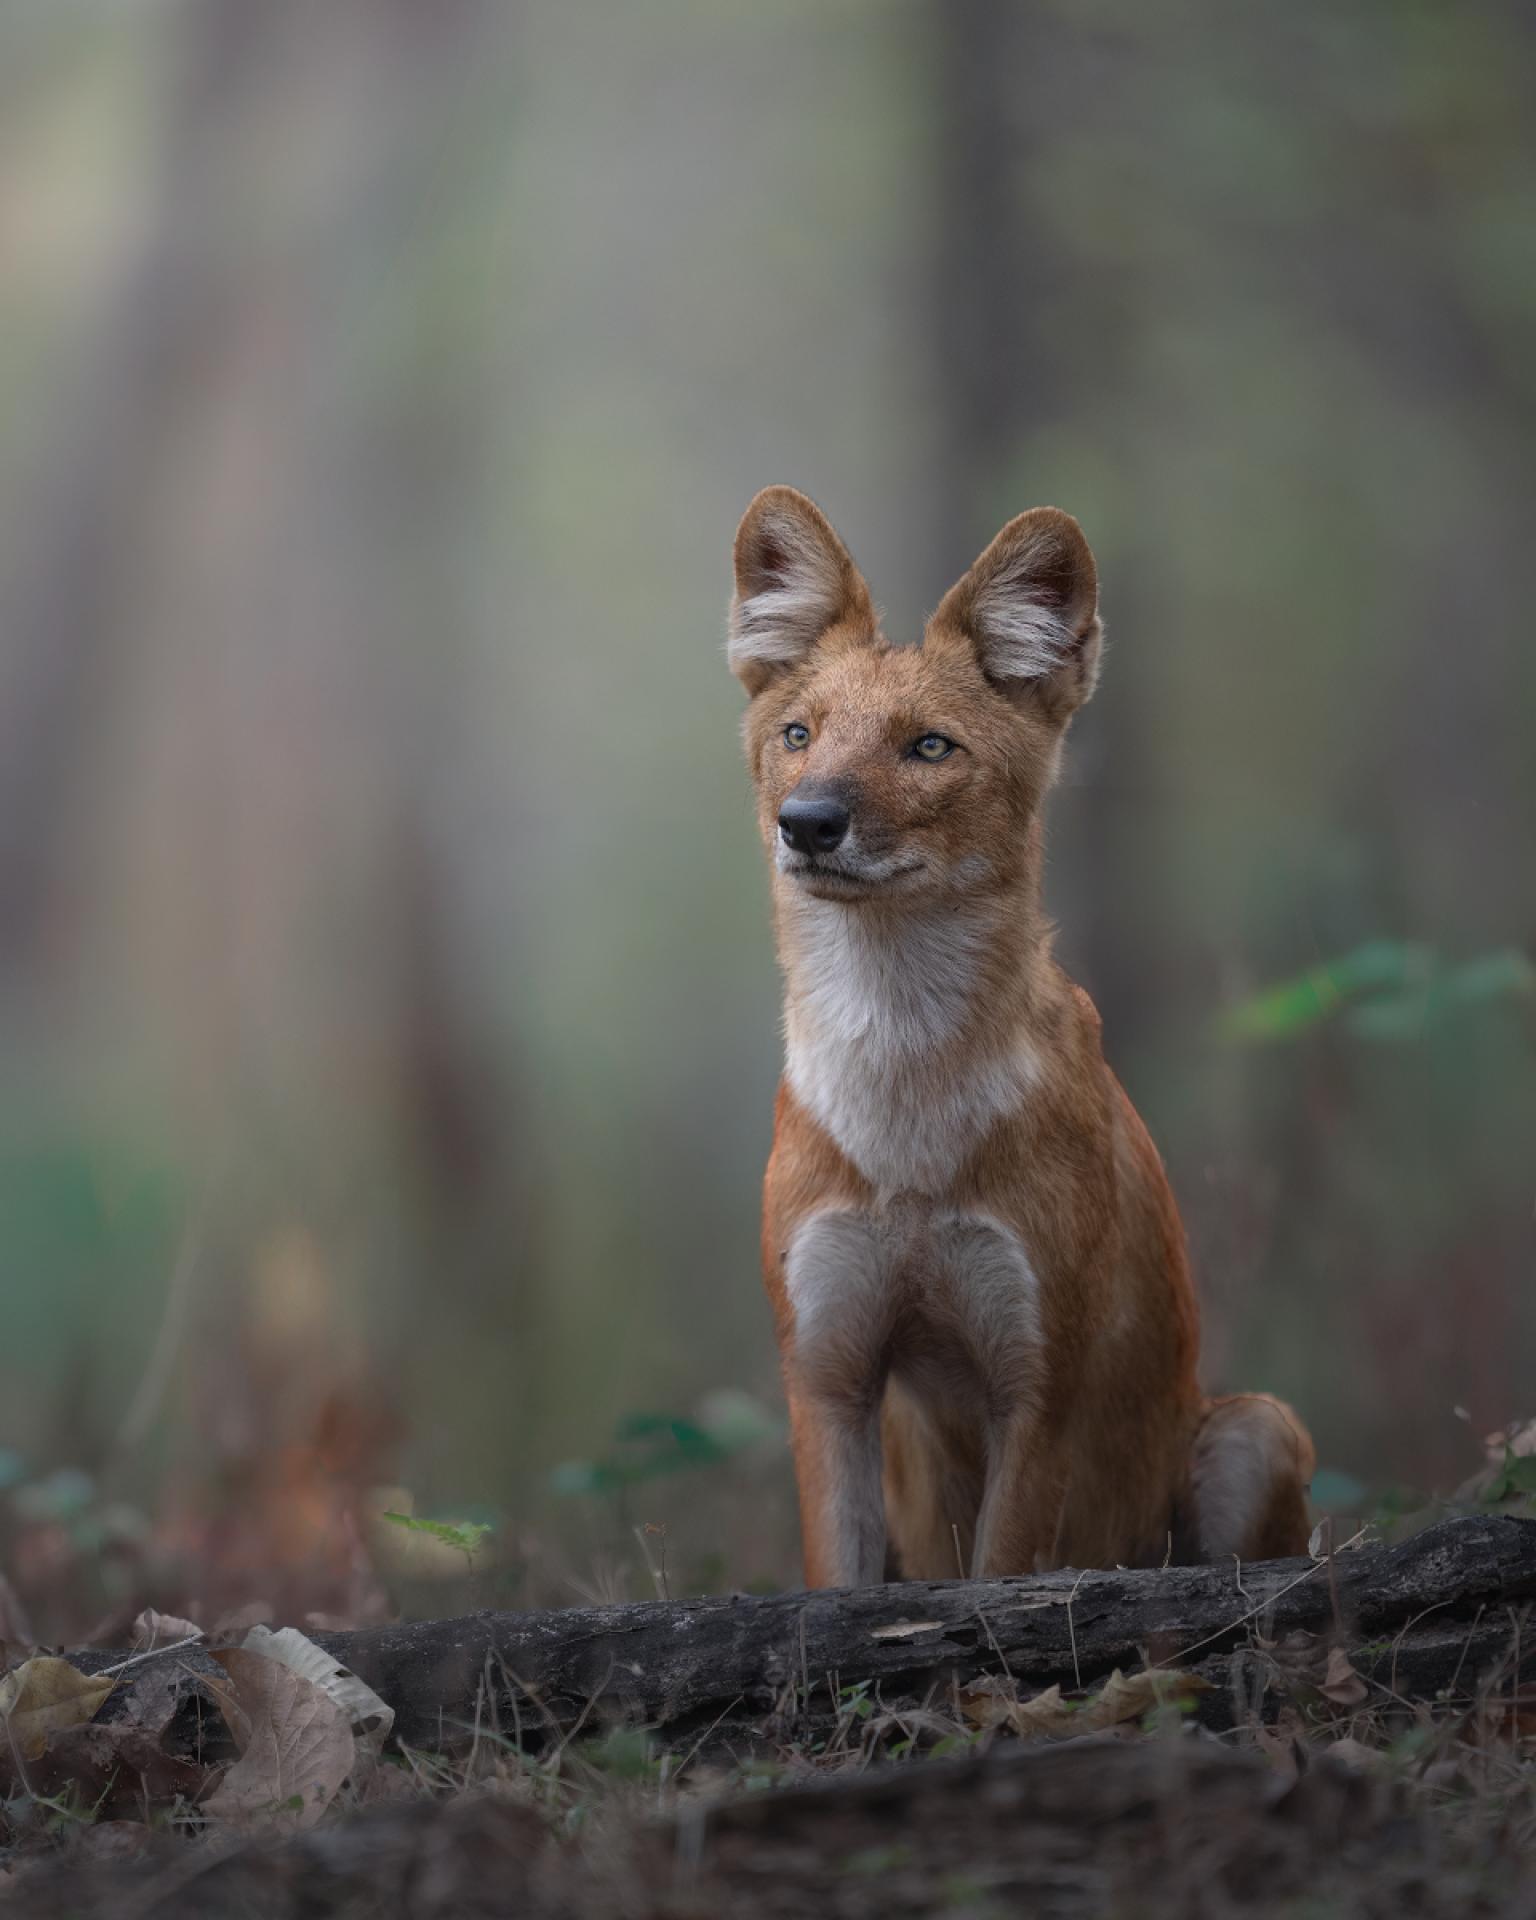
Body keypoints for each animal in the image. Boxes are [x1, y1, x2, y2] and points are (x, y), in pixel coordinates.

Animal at [725, 487, 1313, 1582]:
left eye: (929, 747)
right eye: (798, 734)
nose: (808, 821)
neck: (904, 1079)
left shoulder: (1037, 1386)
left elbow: (1002, 1573)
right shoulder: (827, 1379)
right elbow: (834, 1583)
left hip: (1255, 1428)